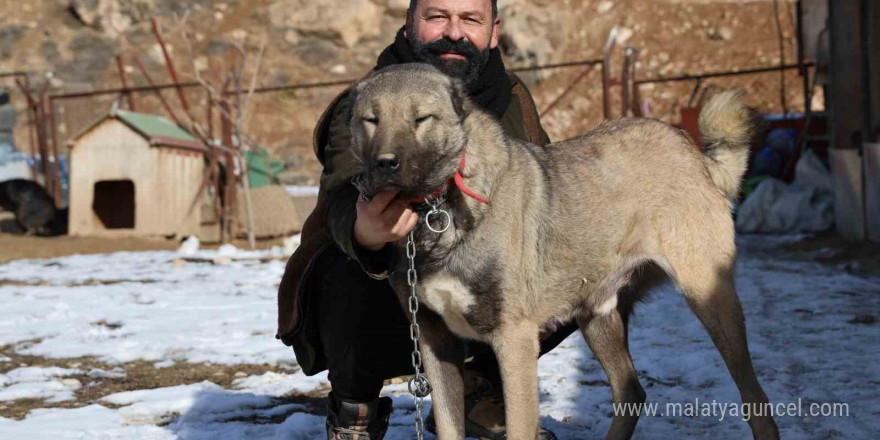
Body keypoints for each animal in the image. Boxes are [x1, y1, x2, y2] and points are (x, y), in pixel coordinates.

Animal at [348, 64, 780, 440]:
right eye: (371, 120)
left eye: (421, 118)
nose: (385, 164)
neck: (438, 209)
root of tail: (694, 153)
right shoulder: (435, 345)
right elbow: (451, 426)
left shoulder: (515, 342)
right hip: (597, 315)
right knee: (631, 391)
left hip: (710, 299)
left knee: (755, 400)